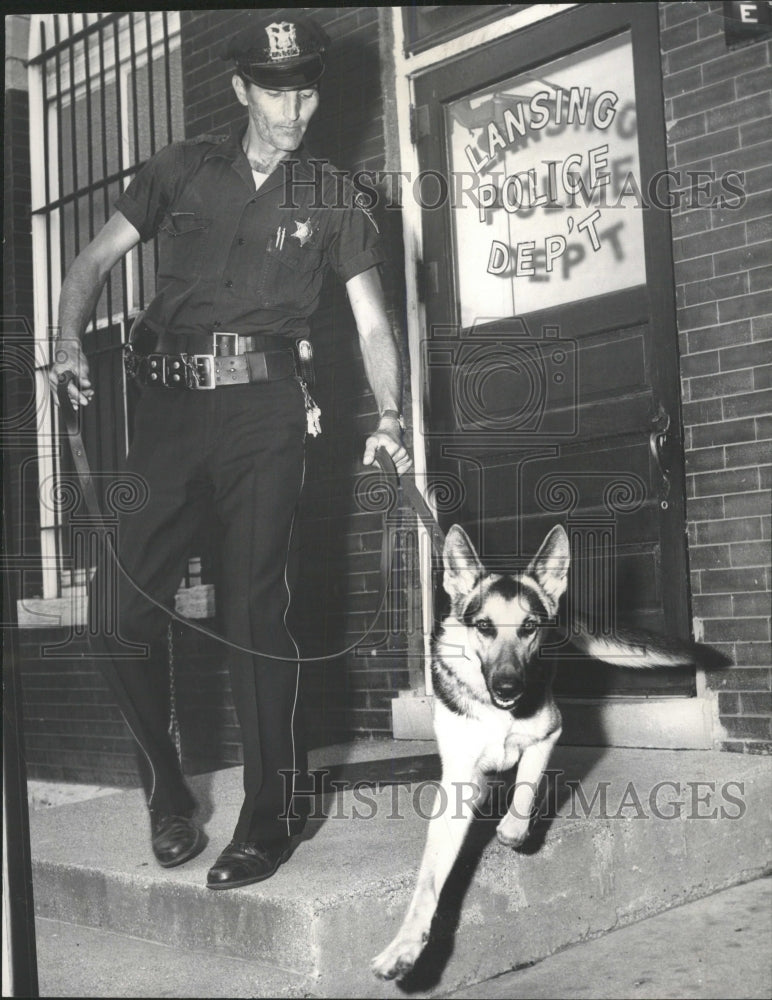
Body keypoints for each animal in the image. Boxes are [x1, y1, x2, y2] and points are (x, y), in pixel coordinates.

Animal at [372, 528, 700, 980]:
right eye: (484, 626)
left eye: (529, 627)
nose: (508, 688)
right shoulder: (458, 782)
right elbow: (429, 879)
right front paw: (404, 946)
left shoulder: (548, 733)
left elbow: (526, 788)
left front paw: (513, 829)